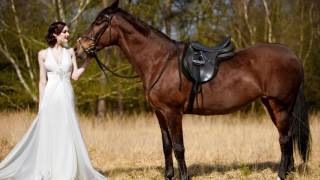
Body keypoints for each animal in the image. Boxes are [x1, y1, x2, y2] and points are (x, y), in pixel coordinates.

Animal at [74, 0, 310, 179]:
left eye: (100, 21)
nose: (79, 48)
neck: (159, 61)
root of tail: (292, 55)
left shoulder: (172, 112)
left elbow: (179, 147)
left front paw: (184, 176)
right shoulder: (159, 113)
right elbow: (166, 145)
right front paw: (169, 175)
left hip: (280, 105)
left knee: (285, 138)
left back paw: (282, 174)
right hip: (271, 104)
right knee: (287, 135)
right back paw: (288, 171)